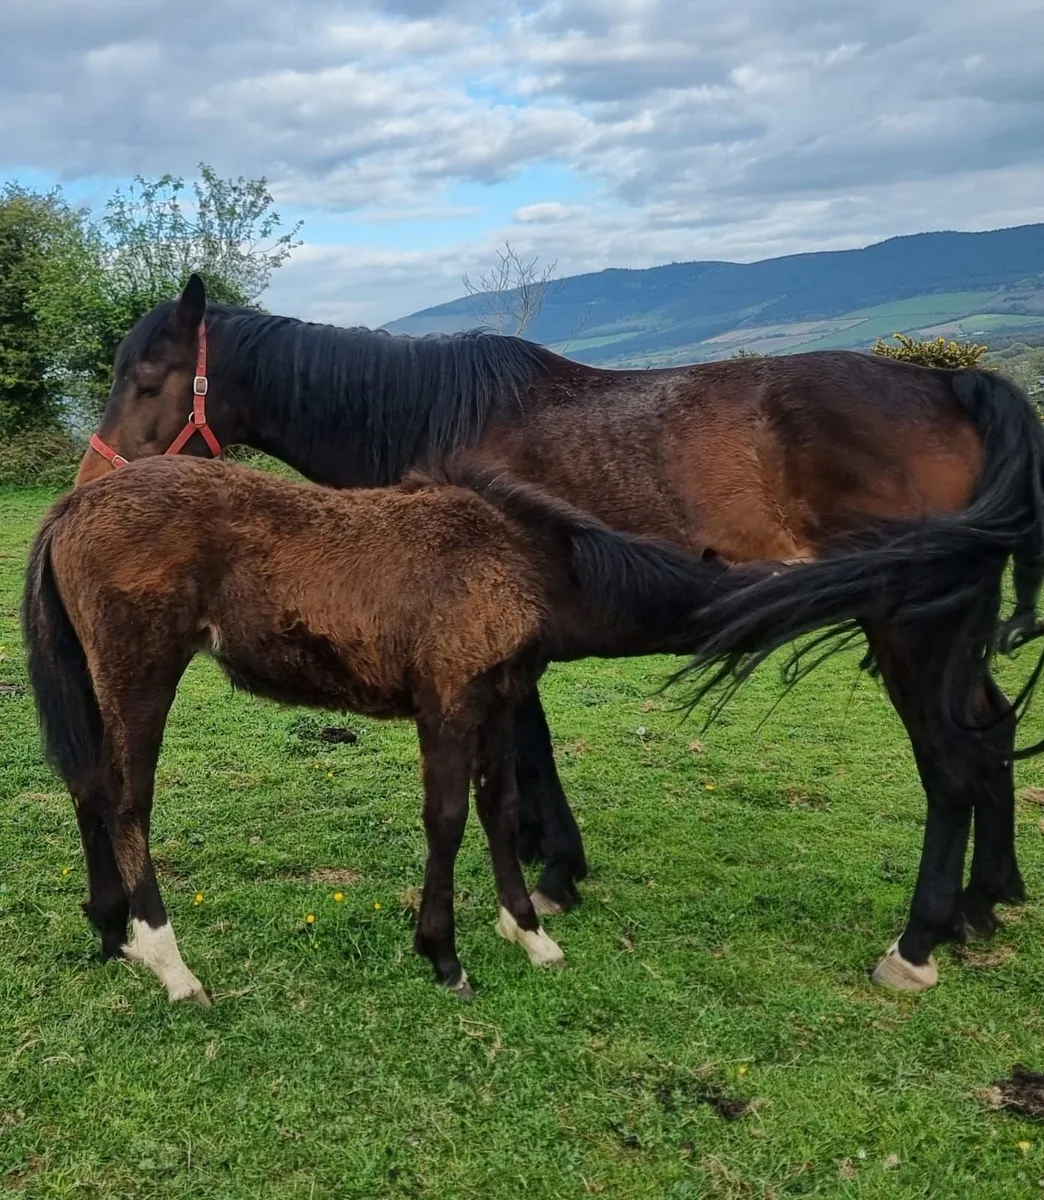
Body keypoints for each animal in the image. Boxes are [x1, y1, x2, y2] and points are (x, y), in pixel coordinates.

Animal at [73, 274, 1044, 986]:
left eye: (148, 381)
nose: (89, 486)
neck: (435, 419)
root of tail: (951, 384)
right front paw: (547, 872)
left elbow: (525, 757)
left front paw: (547, 880)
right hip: (948, 638)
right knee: (989, 737)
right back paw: (986, 901)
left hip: (908, 632)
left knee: (950, 769)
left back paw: (916, 944)